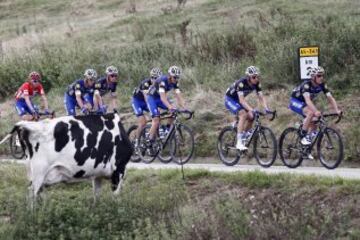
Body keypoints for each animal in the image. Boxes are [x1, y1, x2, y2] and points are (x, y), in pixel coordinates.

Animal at [0, 112, 132, 202]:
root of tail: (28, 125)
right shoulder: (118, 170)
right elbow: (115, 197)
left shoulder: (97, 174)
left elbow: (97, 196)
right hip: (39, 172)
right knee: (31, 194)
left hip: (32, 172)